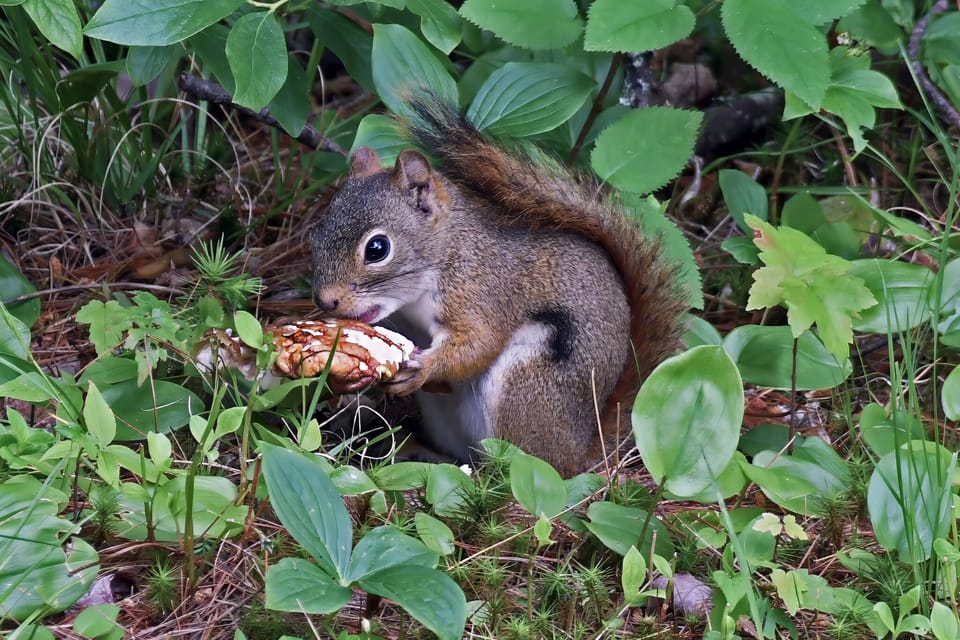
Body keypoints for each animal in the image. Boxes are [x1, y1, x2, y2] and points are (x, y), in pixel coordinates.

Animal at [309, 98, 686, 476]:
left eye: (377, 248)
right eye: (319, 230)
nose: (326, 301)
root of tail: (580, 452)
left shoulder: (482, 293)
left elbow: (479, 345)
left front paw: (424, 368)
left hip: (524, 386)